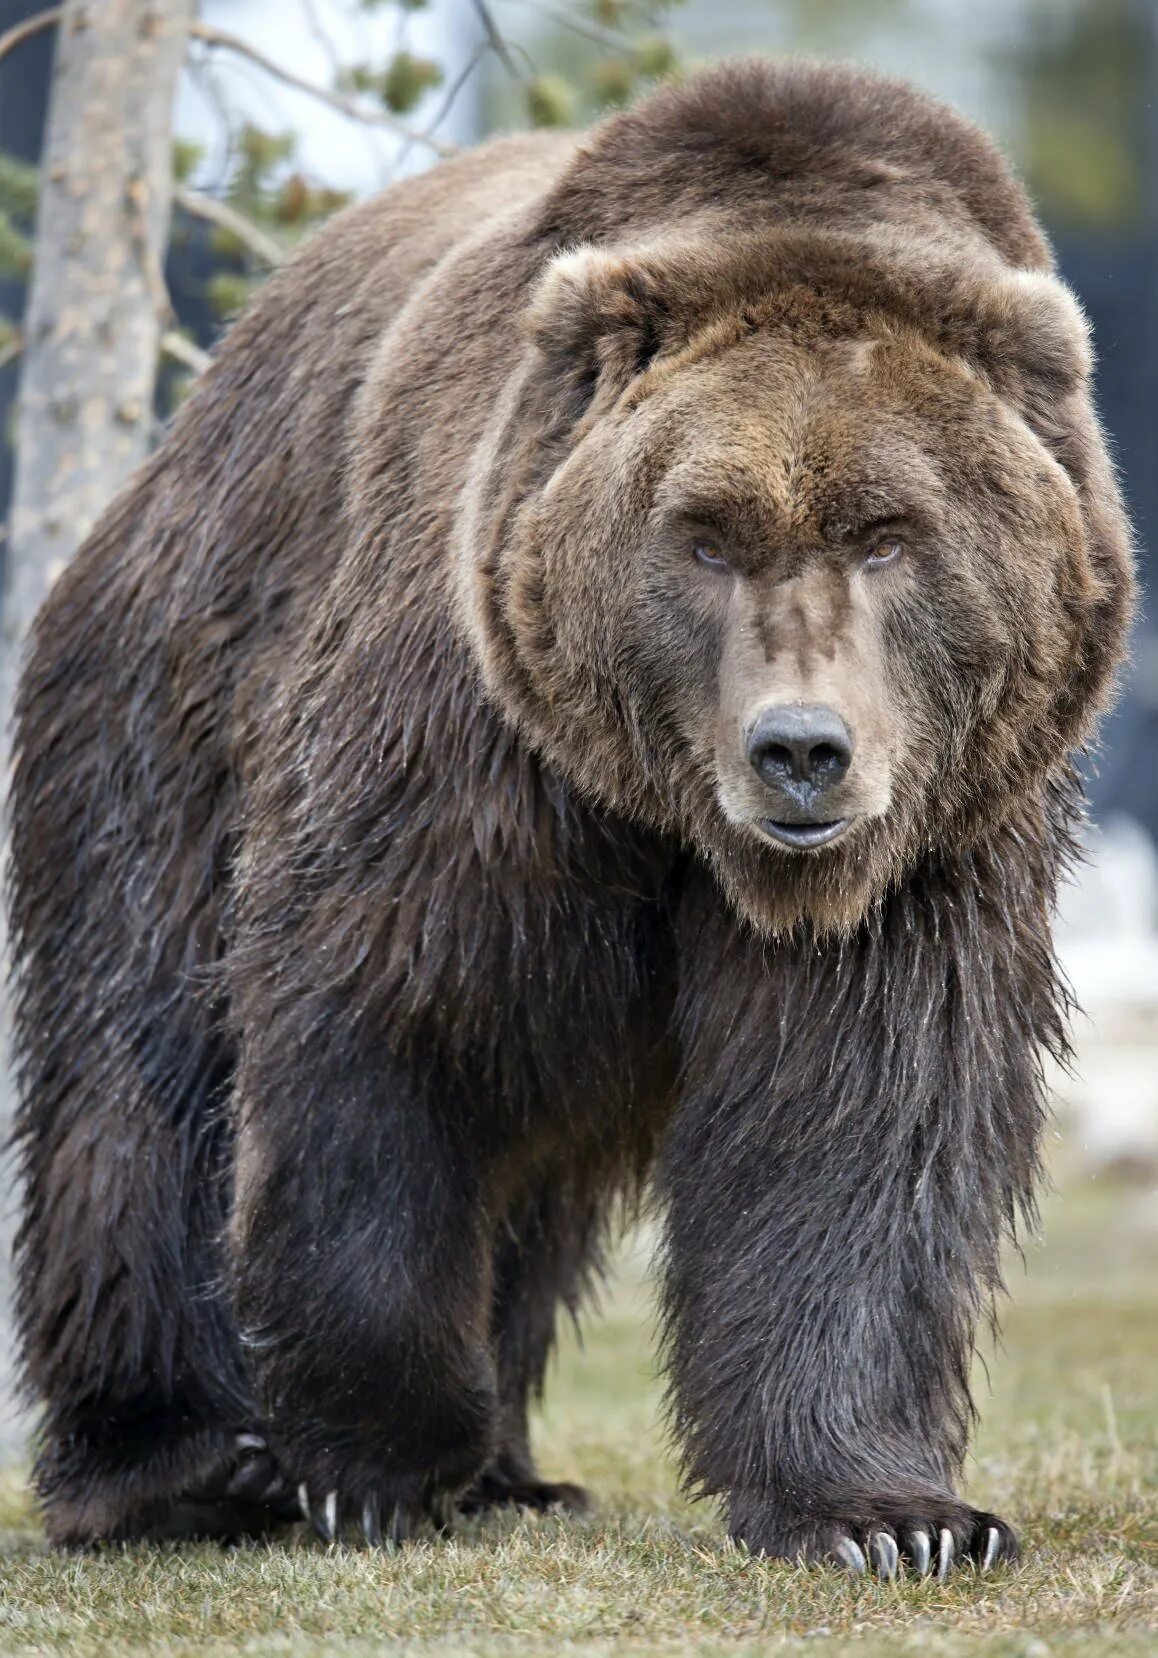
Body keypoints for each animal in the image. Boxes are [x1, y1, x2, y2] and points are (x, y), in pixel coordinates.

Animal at [6, 61, 1128, 1565]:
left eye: (890, 532)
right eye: (704, 532)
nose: (800, 750)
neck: (680, 826)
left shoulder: (923, 855)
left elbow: (858, 1117)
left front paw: (891, 1513)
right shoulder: (475, 753)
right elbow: (382, 1027)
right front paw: (365, 1458)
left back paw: (513, 1471)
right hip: (165, 698)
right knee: (139, 1064)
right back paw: (178, 1460)